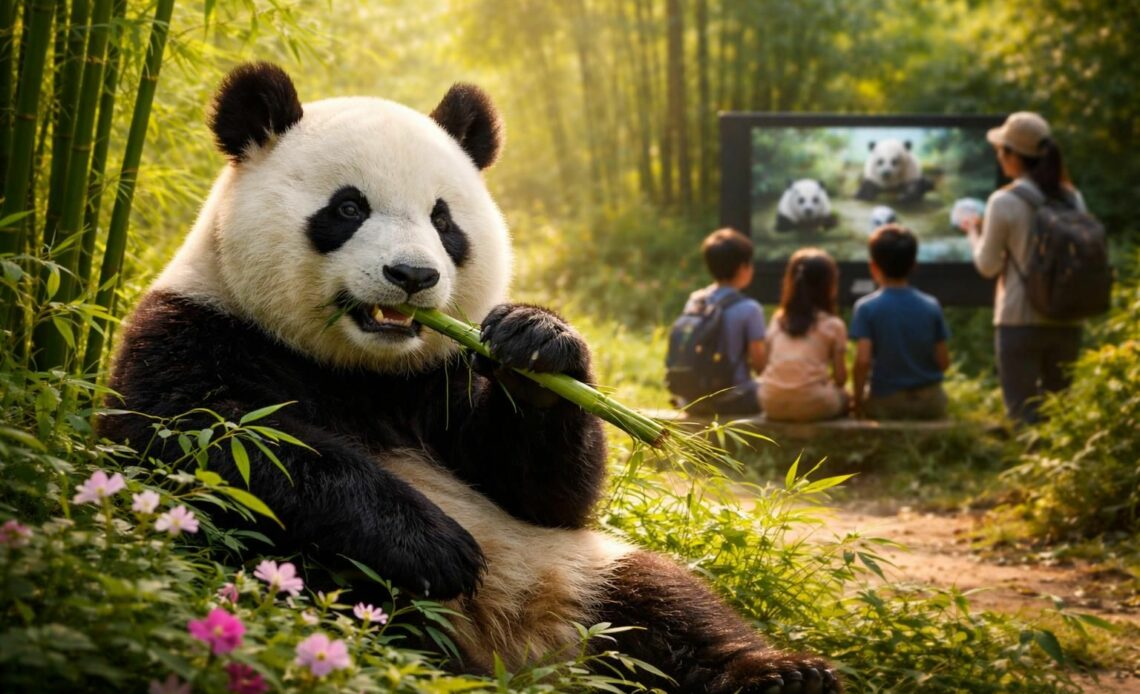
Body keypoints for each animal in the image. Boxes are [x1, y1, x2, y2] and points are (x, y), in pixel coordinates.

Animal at [101, 62, 840, 693]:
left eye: (443, 219)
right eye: (348, 208)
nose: (412, 275)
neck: (360, 368)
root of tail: (525, 657)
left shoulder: (443, 375)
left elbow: (544, 491)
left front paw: (539, 343)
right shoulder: (198, 330)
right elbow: (220, 440)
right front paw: (434, 545)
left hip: (578, 568)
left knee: (665, 603)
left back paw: (783, 673)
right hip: (340, 589)